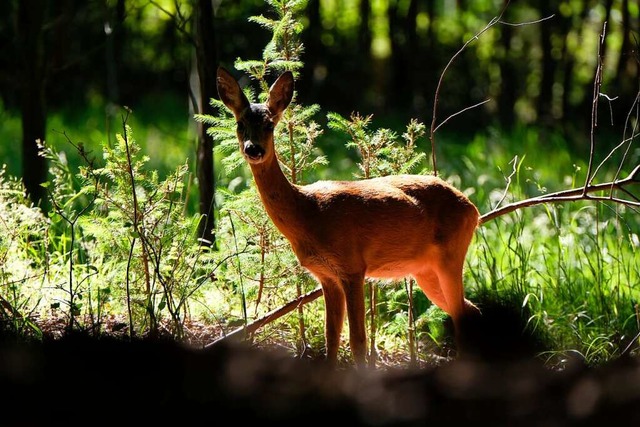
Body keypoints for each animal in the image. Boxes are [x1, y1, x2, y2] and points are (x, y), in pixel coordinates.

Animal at [216, 67, 480, 368]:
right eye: (239, 124)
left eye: (270, 125)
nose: (254, 149)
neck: (309, 213)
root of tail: (473, 209)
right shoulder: (326, 276)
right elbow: (331, 337)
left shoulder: (352, 266)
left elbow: (358, 341)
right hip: (425, 270)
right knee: (469, 311)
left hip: (451, 256)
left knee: (462, 313)